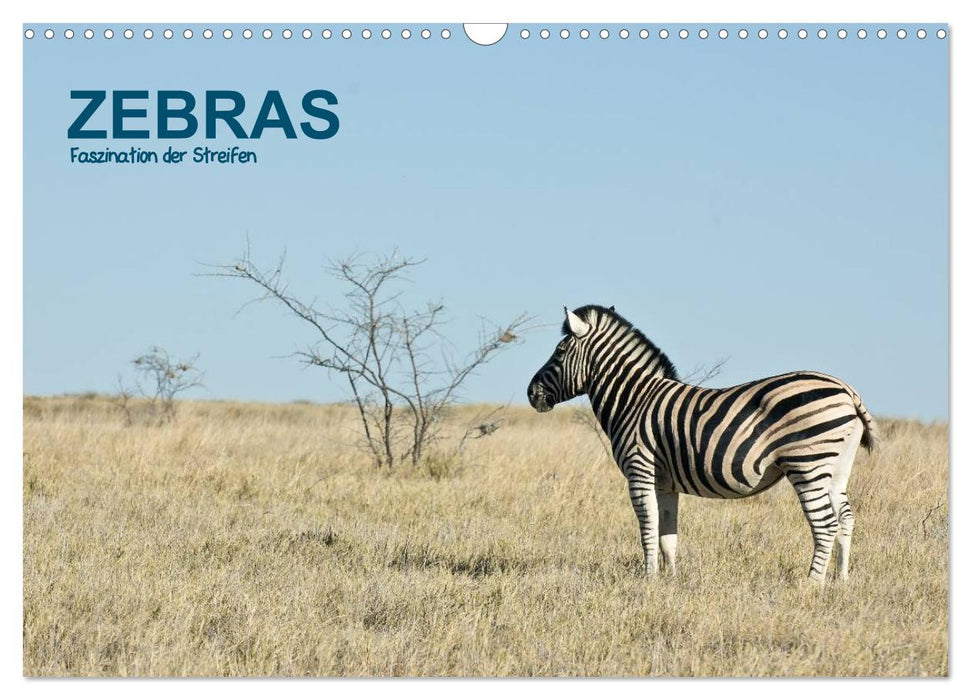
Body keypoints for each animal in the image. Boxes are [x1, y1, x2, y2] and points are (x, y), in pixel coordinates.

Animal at [526, 305, 877, 582]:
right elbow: (668, 535)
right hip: (836, 468)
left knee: (825, 524)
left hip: (807, 464)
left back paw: (812, 584)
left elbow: (648, 528)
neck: (634, 399)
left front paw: (649, 578)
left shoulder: (640, 470)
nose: (531, 393)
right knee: (845, 519)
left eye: (559, 352)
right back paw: (841, 580)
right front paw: (670, 580)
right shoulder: (665, 482)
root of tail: (847, 390)